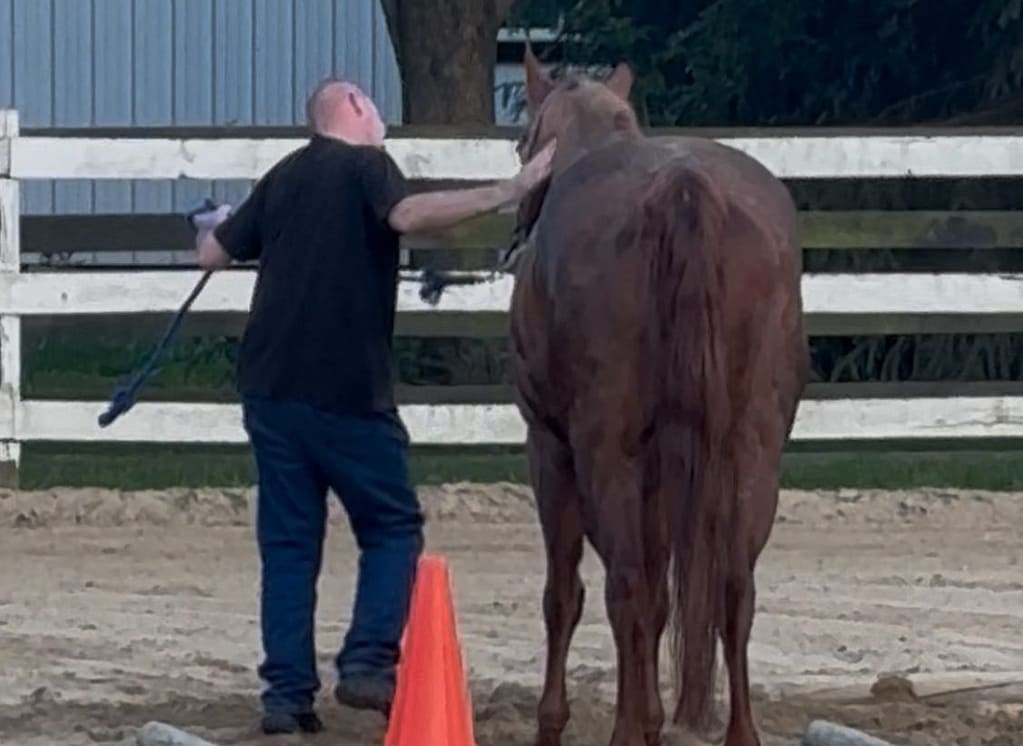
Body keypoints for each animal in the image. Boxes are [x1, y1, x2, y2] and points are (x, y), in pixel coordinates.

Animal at [507, 47, 809, 746]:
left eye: (521, 140)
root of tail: (684, 186)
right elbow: (667, 595)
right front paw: (649, 715)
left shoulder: (552, 448)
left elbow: (566, 593)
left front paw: (556, 721)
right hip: (750, 452)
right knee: (733, 588)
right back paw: (738, 732)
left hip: (604, 453)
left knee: (624, 587)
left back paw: (625, 730)